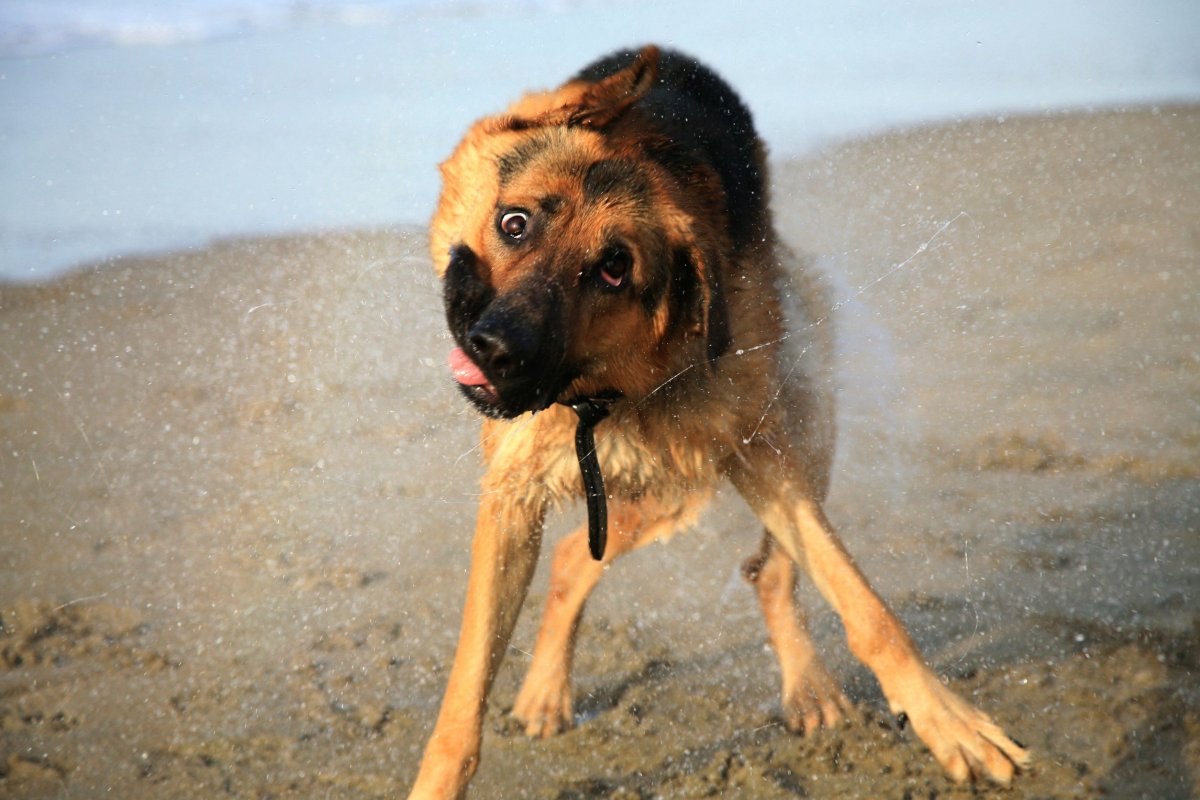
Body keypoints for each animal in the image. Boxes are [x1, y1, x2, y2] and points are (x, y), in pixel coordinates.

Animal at [408, 45, 1027, 800]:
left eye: (613, 269)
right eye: (514, 223)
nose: (495, 349)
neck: (600, 397)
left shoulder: (758, 460)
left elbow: (865, 606)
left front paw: (946, 718)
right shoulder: (511, 497)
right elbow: (465, 700)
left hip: (764, 449)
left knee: (764, 570)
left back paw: (806, 686)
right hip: (660, 489)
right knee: (576, 558)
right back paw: (549, 690)